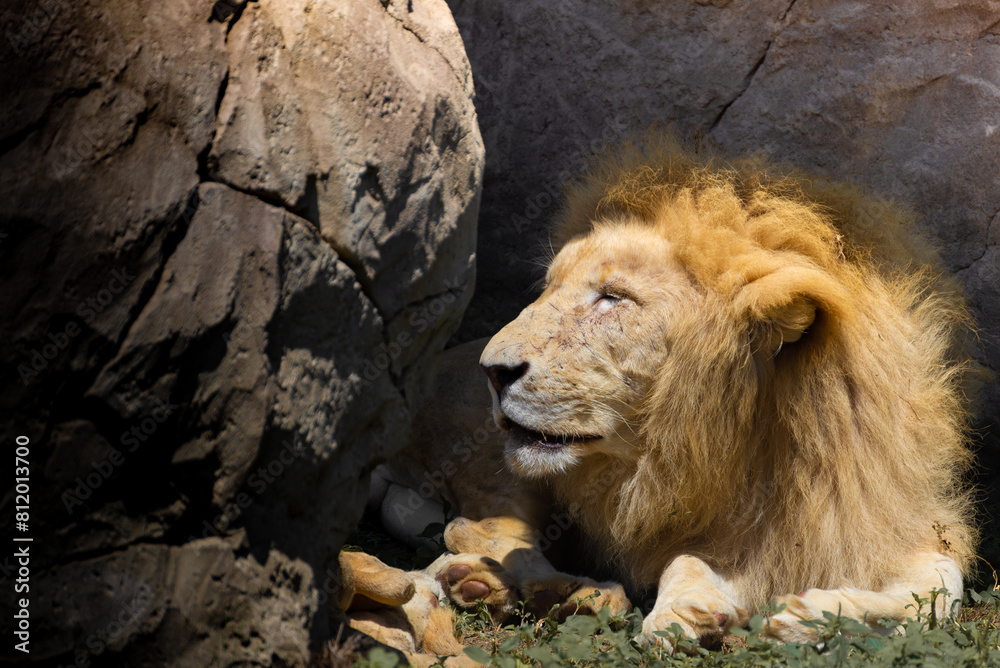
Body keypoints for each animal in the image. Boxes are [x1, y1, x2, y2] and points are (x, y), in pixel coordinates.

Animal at [364, 134, 977, 652]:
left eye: (613, 298)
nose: (493, 371)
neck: (756, 442)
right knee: (478, 532)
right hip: (499, 467)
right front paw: (687, 612)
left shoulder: (886, 519)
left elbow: (940, 592)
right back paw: (563, 594)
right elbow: (682, 562)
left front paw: (810, 616)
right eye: (550, 287)